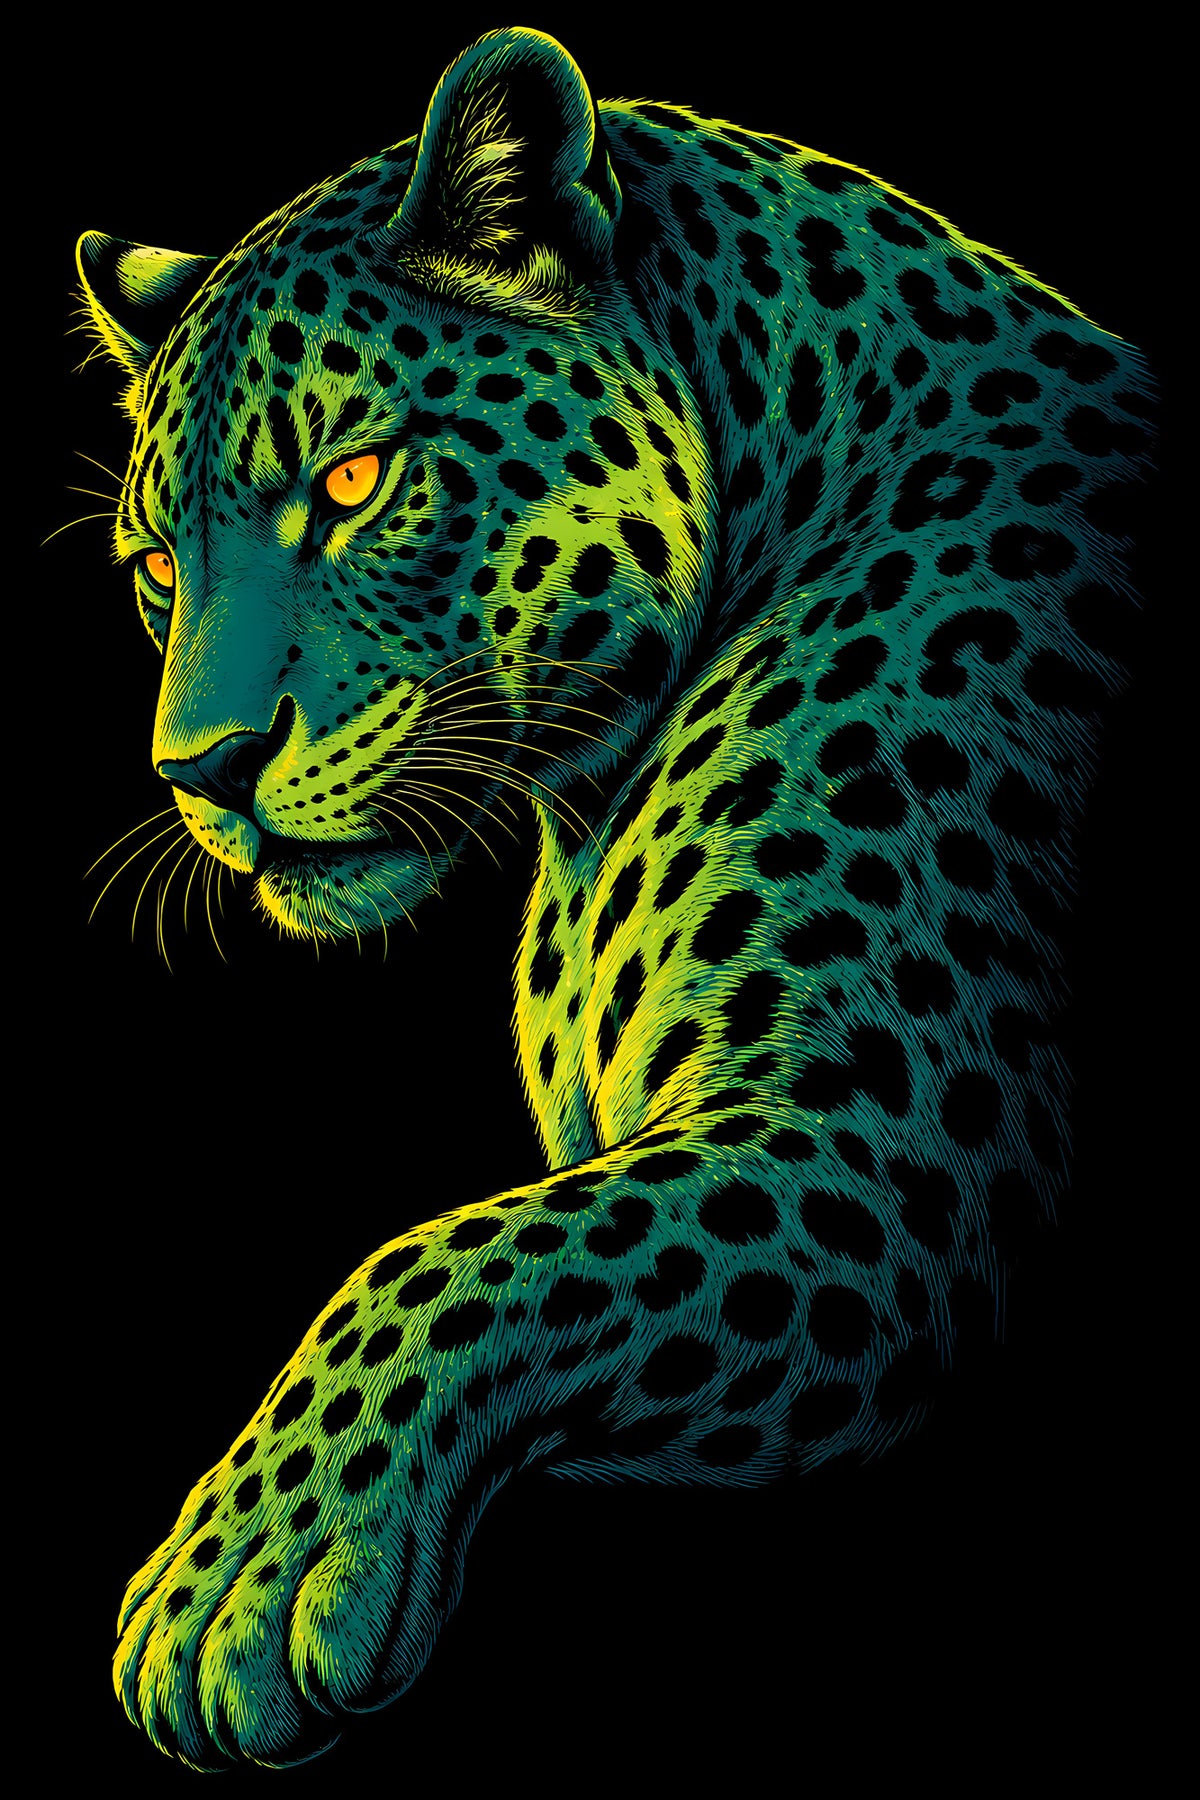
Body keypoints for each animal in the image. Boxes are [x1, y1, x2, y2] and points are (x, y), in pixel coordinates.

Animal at [77, 25, 1153, 1769]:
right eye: (159, 569)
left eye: (355, 480)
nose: (204, 770)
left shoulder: (910, 1145)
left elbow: (453, 1249)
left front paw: (245, 1574)